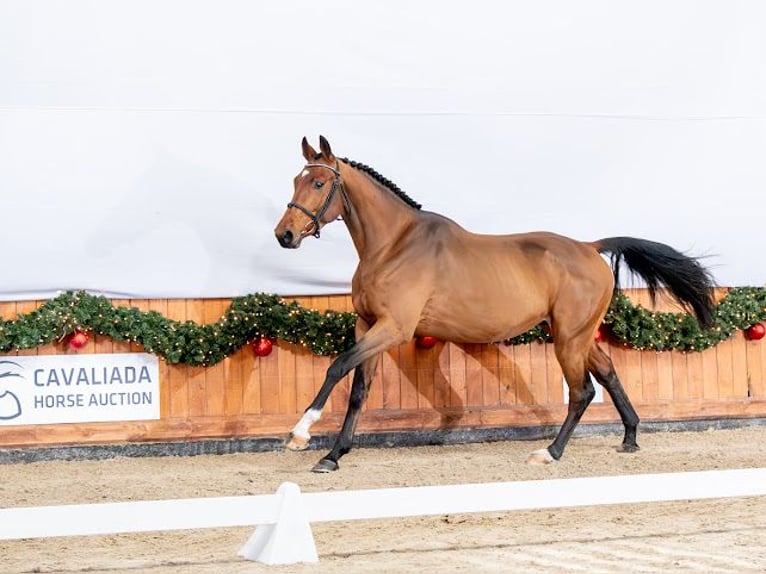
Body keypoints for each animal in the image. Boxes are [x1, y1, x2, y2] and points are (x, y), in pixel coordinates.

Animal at [274, 135, 716, 473]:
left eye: (318, 183)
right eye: (296, 179)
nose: (285, 235)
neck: (394, 245)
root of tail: (590, 248)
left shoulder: (393, 328)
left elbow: (337, 367)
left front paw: (300, 434)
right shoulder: (368, 325)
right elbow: (359, 390)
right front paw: (332, 456)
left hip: (569, 339)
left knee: (582, 391)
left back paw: (550, 453)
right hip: (576, 335)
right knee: (606, 372)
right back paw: (630, 437)